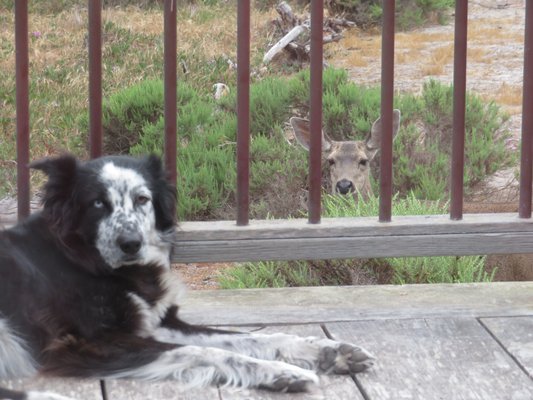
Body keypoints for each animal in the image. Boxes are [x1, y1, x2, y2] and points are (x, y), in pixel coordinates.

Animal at [0, 155, 374, 398]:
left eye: (142, 199)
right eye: (97, 203)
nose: (130, 243)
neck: (90, 262)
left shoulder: (158, 324)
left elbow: (250, 339)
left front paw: (328, 351)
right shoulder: (88, 343)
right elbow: (204, 352)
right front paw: (283, 372)